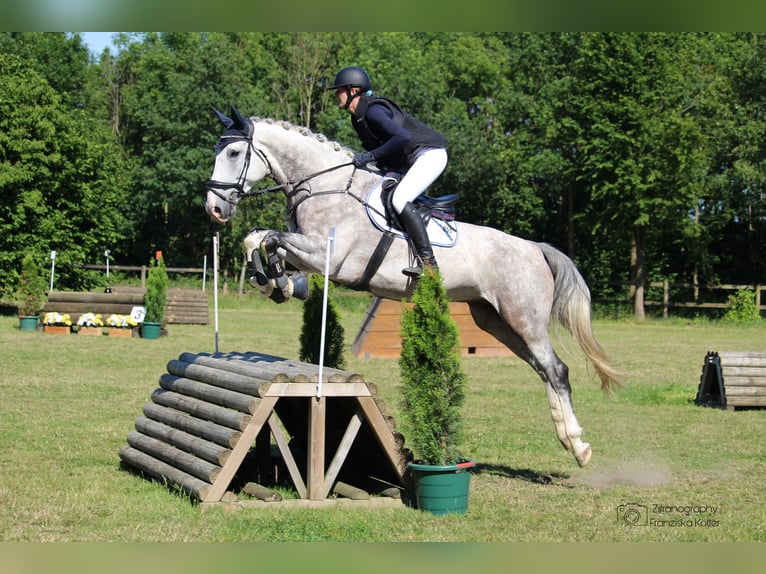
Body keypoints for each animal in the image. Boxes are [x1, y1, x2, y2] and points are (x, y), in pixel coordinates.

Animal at [206, 108, 624, 468]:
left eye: (233, 152)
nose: (214, 208)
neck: (325, 185)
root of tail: (535, 248)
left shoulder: (330, 257)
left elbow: (265, 237)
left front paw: (275, 281)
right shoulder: (309, 250)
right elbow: (262, 240)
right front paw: (276, 283)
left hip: (525, 318)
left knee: (556, 370)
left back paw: (579, 446)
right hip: (496, 321)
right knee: (542, 369)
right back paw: (566, 438)